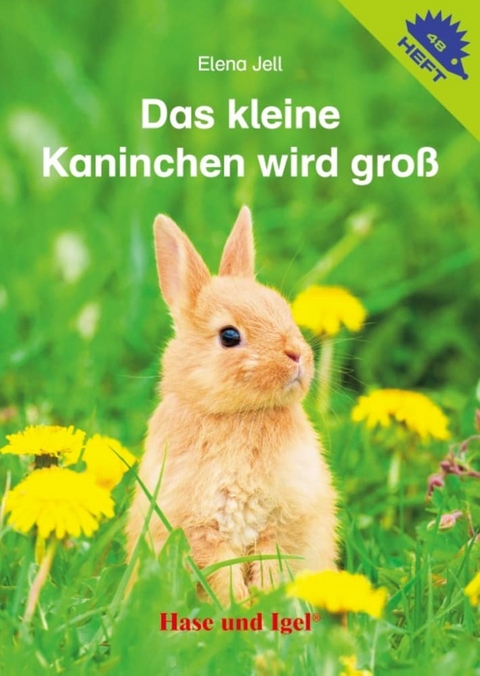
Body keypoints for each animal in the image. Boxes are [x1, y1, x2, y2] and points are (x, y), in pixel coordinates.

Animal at [126, 206, 338, 604]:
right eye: (229, 336)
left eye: (283, 311)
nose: (297, 355)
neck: (238, 415)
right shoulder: (202, 527)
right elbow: (221, 572)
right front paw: (236, 607)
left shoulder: (281, 521)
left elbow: (272, 562)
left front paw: (263, 602)